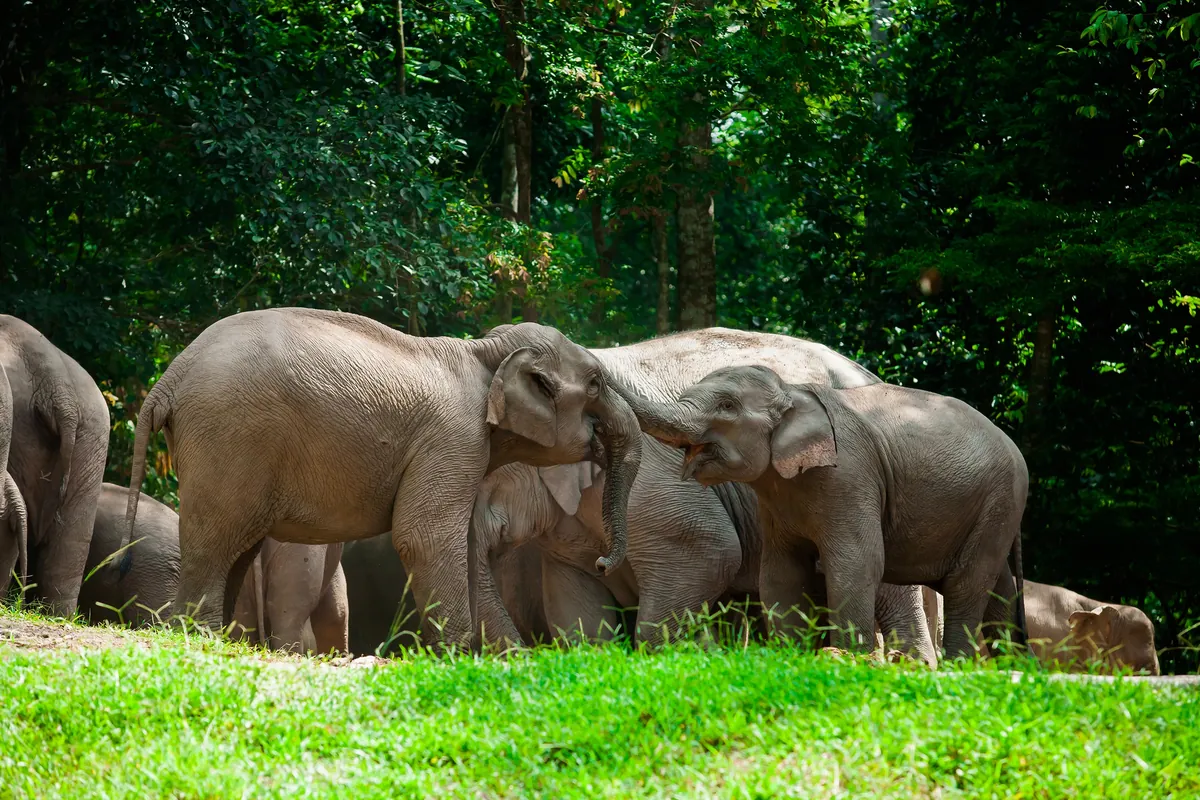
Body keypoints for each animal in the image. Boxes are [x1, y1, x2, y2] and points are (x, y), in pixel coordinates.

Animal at [123, 310, 642, 648]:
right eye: (595, 383)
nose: (601, 564)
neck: (485, 353)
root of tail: (168, 379)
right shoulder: (453, 437)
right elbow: (424, 537)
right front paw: (458, 657)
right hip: (227, 438)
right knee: (216, 540)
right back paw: (199, 639)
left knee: (236, 547)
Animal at [624, 364, 1028, 659]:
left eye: (727, 406)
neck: (793, 391)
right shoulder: (776, 500)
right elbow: (781, 572)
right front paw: (791, 655)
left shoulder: (849, 476)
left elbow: (856, 563)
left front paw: (852, 659)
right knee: (1000, 587)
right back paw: (1010, 665)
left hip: (1000, 499)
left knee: (967, 583)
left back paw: (960, 664)